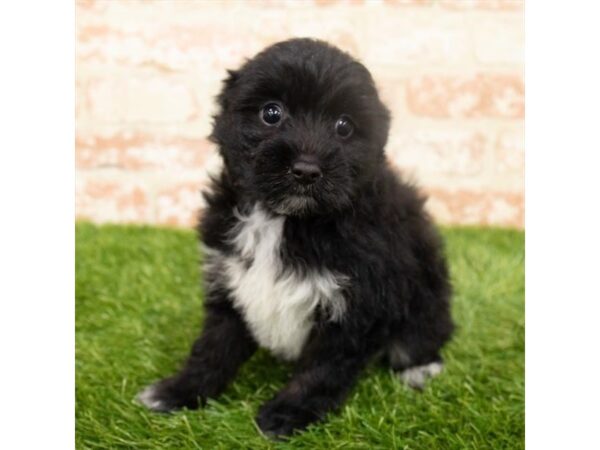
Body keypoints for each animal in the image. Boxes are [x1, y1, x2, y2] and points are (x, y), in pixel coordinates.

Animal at [138, 37, 452, 438]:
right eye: (271, 113)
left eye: (344, 126)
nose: (306, 169)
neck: (285, 219)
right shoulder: (229, 276)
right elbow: (213, 345)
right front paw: (180, 391)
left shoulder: (359, 300)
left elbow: (322, 366)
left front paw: (289, 413)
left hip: (427, 291)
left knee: (421, 336)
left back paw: (419, 367)